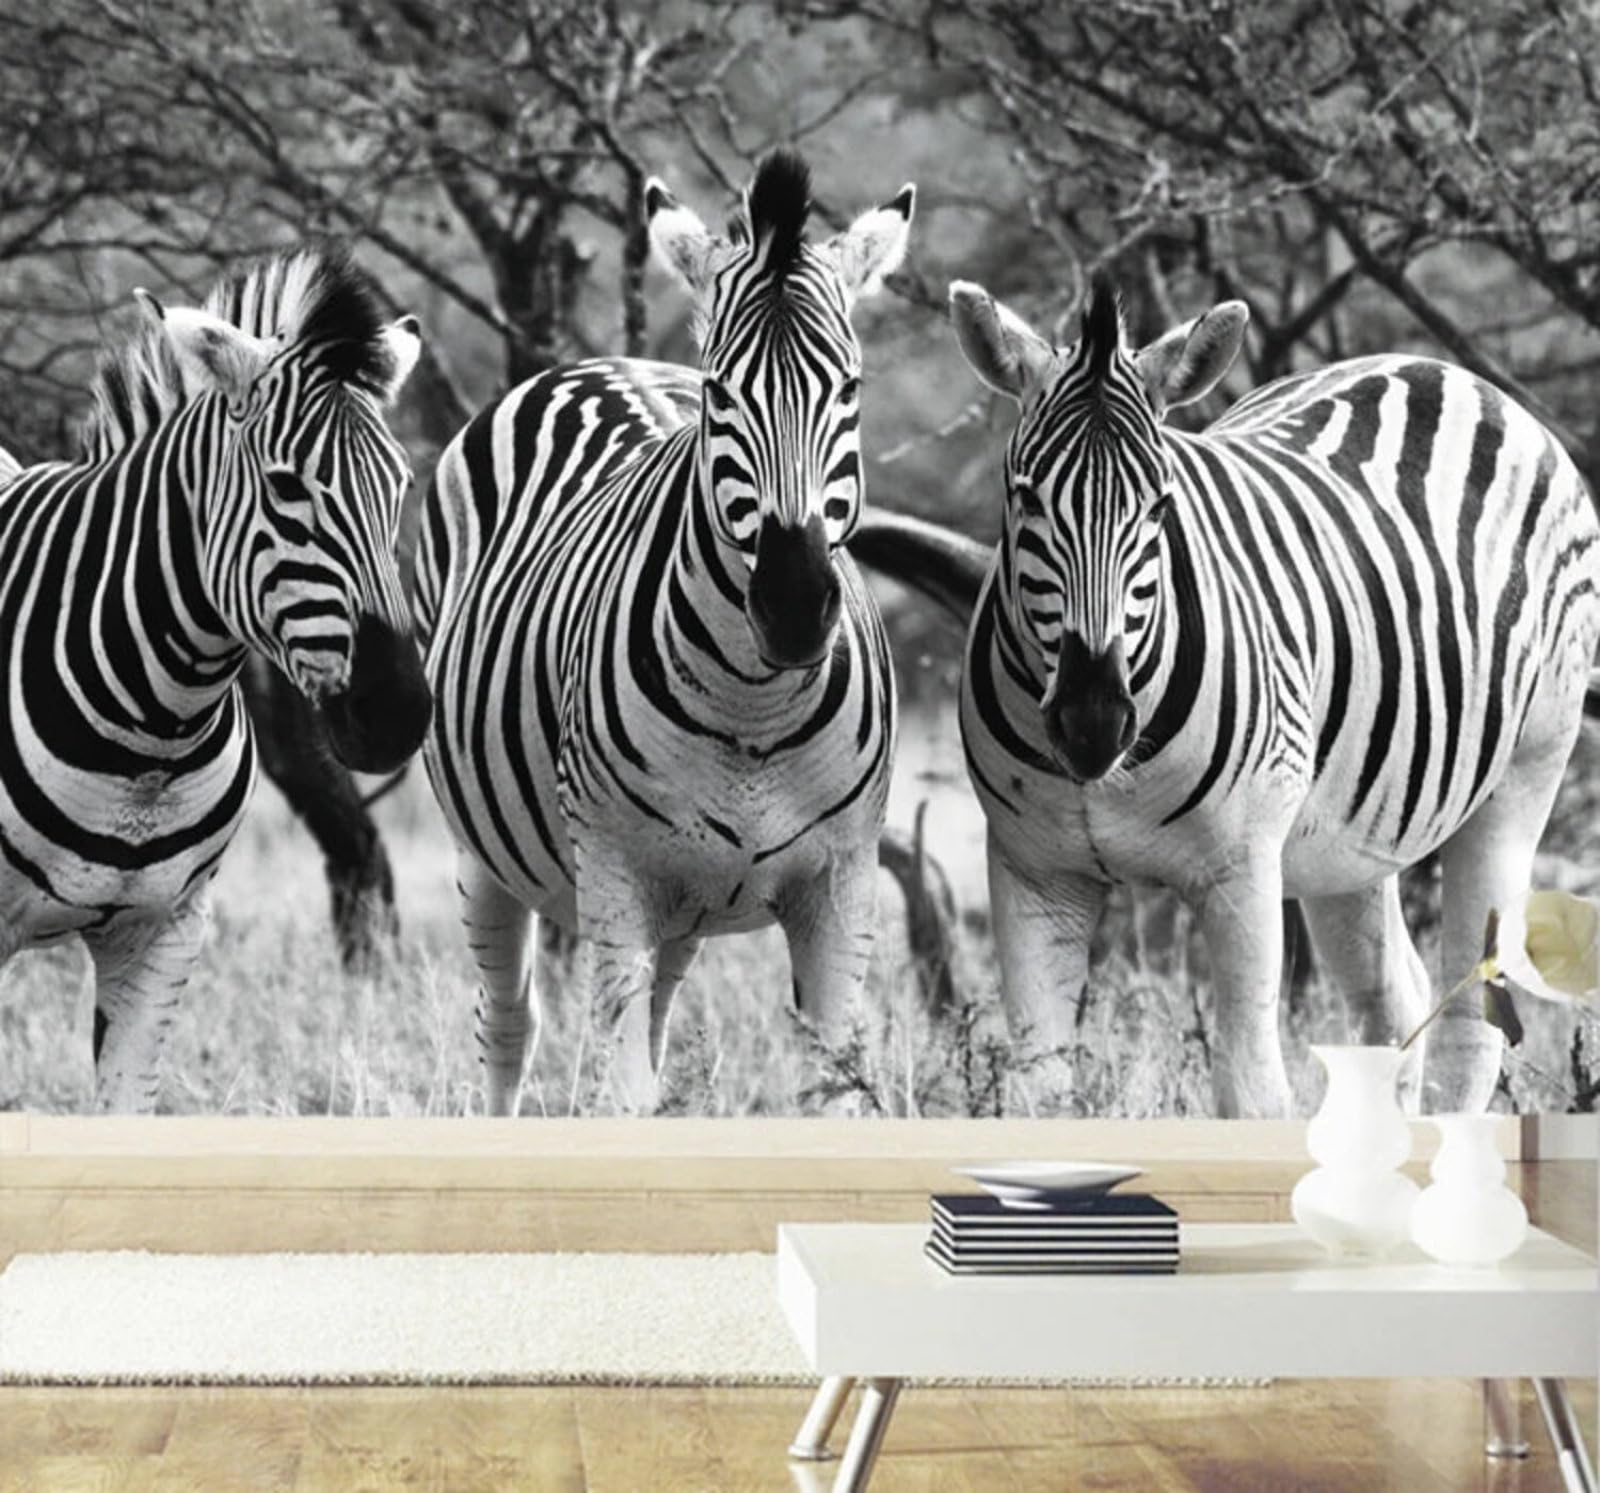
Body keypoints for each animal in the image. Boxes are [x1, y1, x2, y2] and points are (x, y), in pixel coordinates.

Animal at [416, 150, 914, 1114]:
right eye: (722, 394)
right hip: (487, 857)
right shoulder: (616, 875)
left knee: (648, 1017)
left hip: (686, 903)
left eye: (850, 389)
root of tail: (591, 362)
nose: (793, 604)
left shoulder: (843, 882)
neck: (754, 711)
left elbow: (834, 1083)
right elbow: (618, 1090)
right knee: (508, 1028)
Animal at [853, 275, 1599, 1117]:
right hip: (1351, 840)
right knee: (1394, 1000)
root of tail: (1449, 374)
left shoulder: (1241, 874)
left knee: (1469, 1026)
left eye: (1159, 506)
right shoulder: (1032, 871)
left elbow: (1250, 1090)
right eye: (1025, 500)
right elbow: (1038, 1090)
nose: (1092, 720)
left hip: (1524, 773)